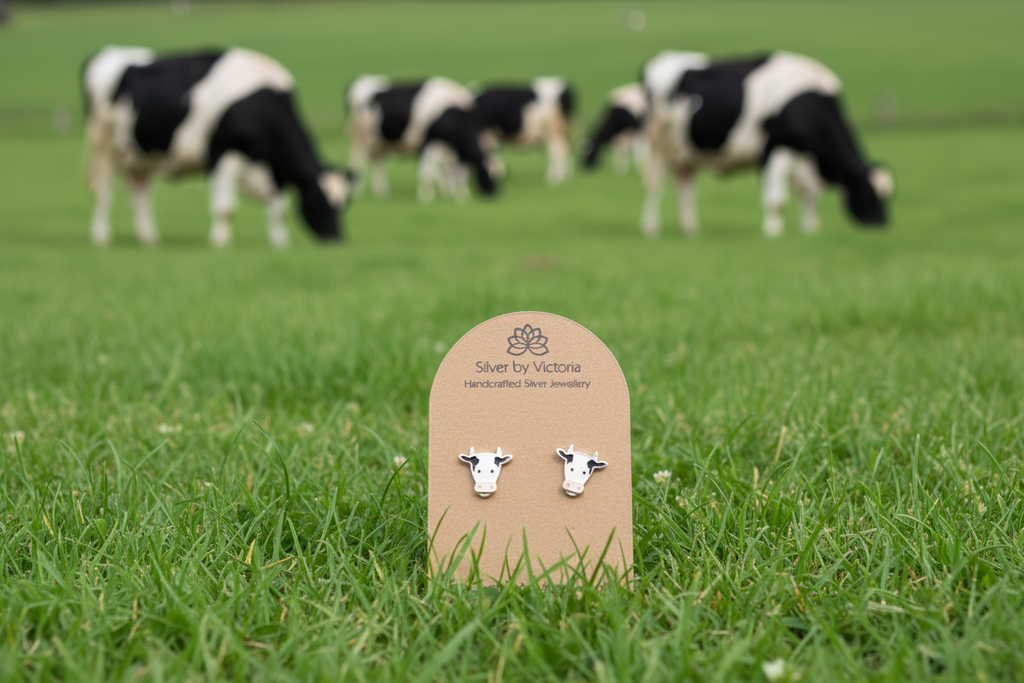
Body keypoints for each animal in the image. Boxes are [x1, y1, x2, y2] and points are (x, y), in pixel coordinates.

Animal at [82, 46, 353, 248]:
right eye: (318, 202)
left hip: (140, 154)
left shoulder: (276, 171)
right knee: (103, 190)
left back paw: (149, 238)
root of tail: (108, 52)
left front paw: (280, 243)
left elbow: (278, 210)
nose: (336, 240)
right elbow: (226, 209)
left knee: (139, 194)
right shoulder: (223, 155)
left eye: (345, 203)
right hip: (103, 145)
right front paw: (220, 243)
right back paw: (101, 237)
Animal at [346, 75, 497, 203]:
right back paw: (357, 191)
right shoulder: (431, 142)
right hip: (358, 136)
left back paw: (381, 191)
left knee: (377, 162)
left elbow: (452, 168)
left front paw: (455, 193)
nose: (493, 194)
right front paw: (427, 195)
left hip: (378, 141)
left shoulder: (450, 146)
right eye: (488, 173)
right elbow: (429, 168)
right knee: (357, 159)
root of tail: (360, 81)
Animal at [583, 51, 893, 237]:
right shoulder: (775, 150)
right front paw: (773, 232)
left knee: (684, 186)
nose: (882, 225)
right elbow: (777, 201)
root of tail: (662, 58)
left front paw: (810, 229)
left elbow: (809, 197)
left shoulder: (806, 160)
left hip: (686, 151)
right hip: (658, 142)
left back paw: (690, 228)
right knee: (654, 183)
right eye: (868, 193)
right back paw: (650, 228)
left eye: (889, 195)